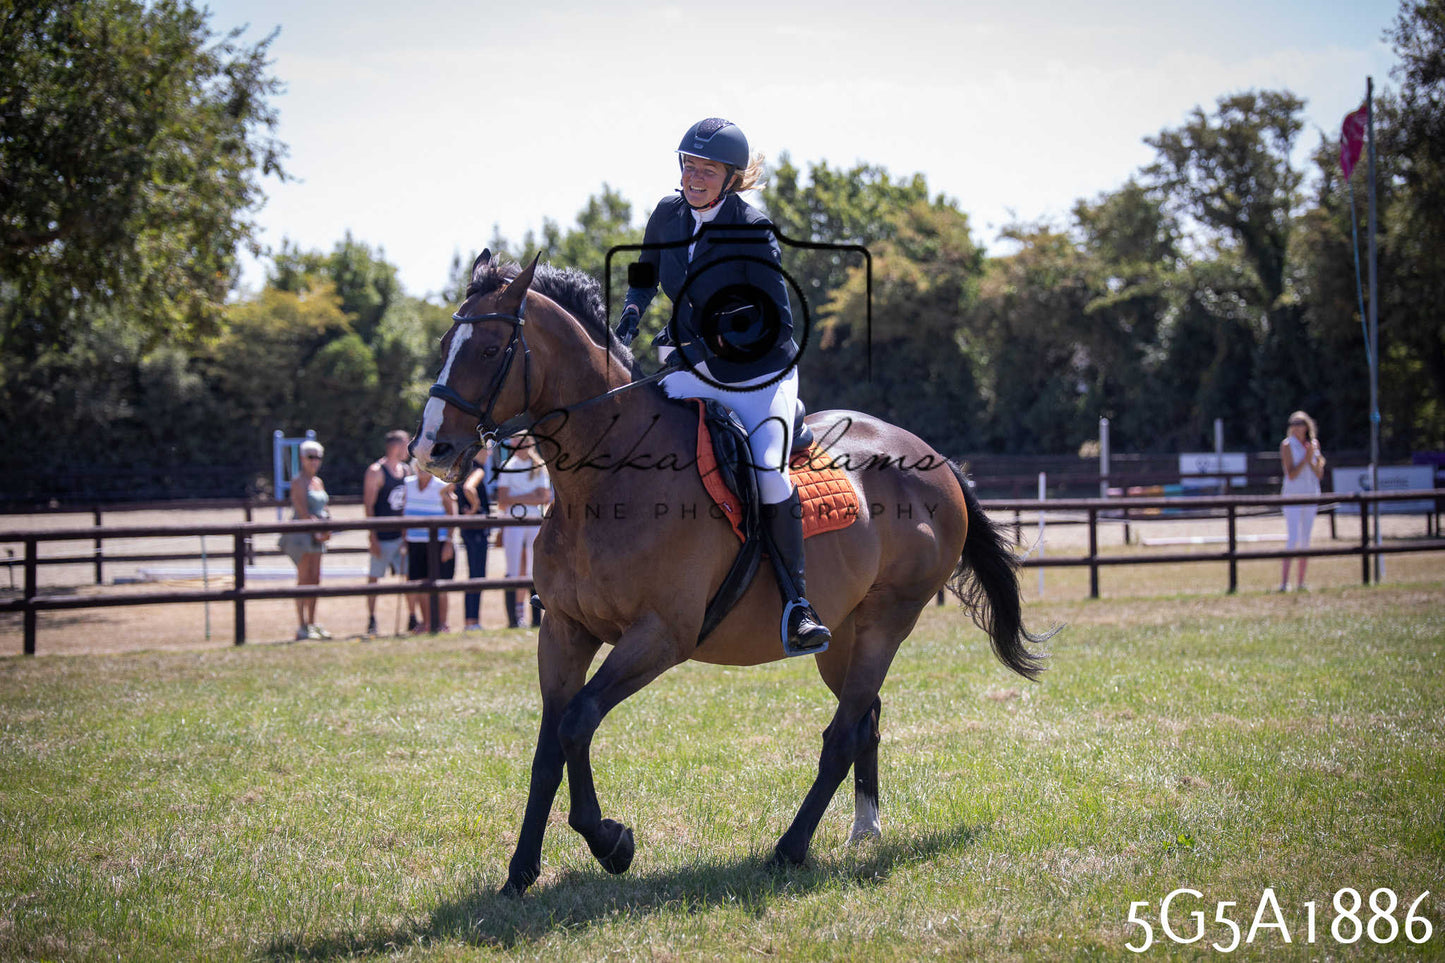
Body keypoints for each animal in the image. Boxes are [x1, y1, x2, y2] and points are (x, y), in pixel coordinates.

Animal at [410, 250, 1051, 897]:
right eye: (443, 344)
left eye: (490, 349)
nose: (430, 449)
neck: (606, 480)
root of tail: (935, 460)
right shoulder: (564, 629)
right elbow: (549, 749)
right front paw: (519, 873)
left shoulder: (660, 636)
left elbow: (577, 722)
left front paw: (611, 843)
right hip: (842, 635)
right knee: (864, 716)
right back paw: (863, 829)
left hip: (886, 621)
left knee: (843, 733)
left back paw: (790, 849)